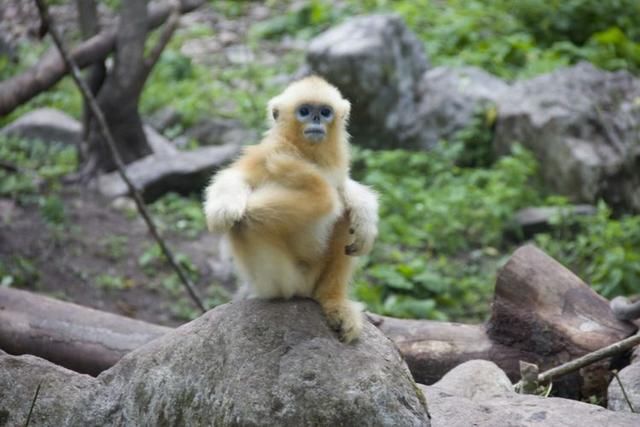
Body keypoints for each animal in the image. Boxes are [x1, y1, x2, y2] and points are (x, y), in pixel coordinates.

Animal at [202, 76, 378, 344]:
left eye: (325, 112)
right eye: (304, 111)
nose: (315, 119)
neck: (307, 155)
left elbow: (344, 188)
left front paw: (365, 215)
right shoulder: (266, 153)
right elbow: (235, 178)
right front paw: (223, 209)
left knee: (343, 215)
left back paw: (333, 301)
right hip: (282, 281)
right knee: (248, 222)